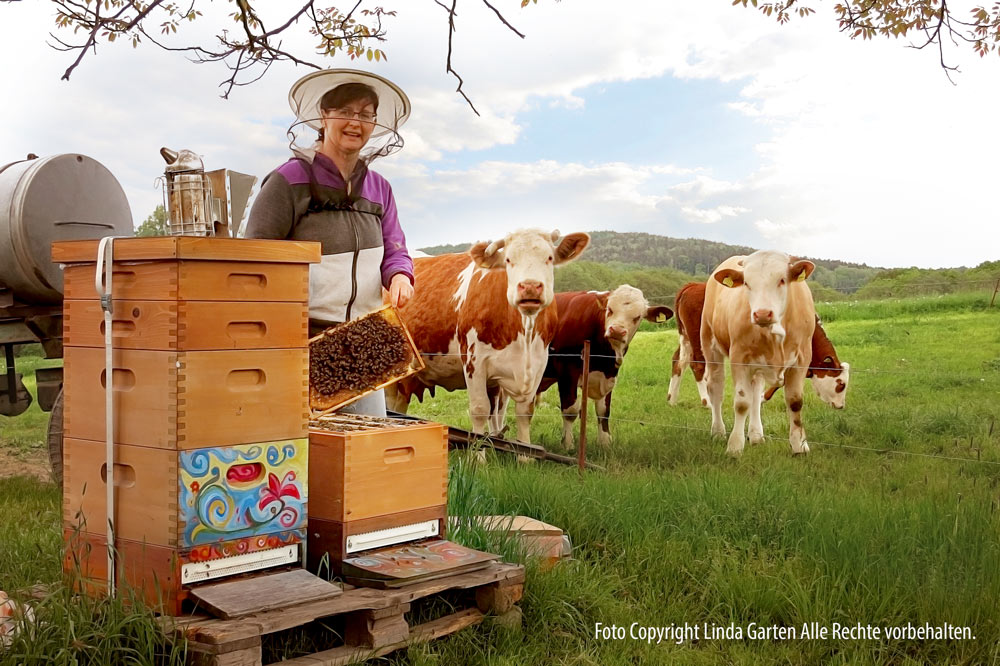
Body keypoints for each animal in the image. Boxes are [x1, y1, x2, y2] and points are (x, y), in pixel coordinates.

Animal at [382, 228, 584, 440]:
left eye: (549, 258)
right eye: (508, 260)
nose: (529, 286)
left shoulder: (538, 364)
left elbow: (524, 412)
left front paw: (525, 448)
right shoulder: (474, 361)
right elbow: (480, 410)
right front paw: (478, 448)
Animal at [536, 284, 676, 446]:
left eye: (637, 317)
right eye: (610, 309)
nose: (617, 331)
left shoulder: (608, 375)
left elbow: (603, 411)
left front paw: (605, 442)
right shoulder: (566, 371)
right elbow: (570, 411)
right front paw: (568, 444)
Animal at [668, 278, 848, 408]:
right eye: (841, 385)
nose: (840, 406)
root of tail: (692, 286)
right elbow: (780, 380)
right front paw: (761, 398)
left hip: (686, 337)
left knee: (679, 360)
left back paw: (672, 399)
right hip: (697, 337)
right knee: (697, 364)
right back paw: (707, 401)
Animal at [704, 250, 820, 456]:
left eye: (782, 280)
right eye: (747, 283)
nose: (763, 313)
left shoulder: (803, 357)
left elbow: (795, 401)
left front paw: (799, 445)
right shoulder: (739, 357)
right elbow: (742, 403)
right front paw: (735, 446)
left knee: (756, 392)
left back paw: (756, 435)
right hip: (710, 343)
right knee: (715, 387)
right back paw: (718, 431)